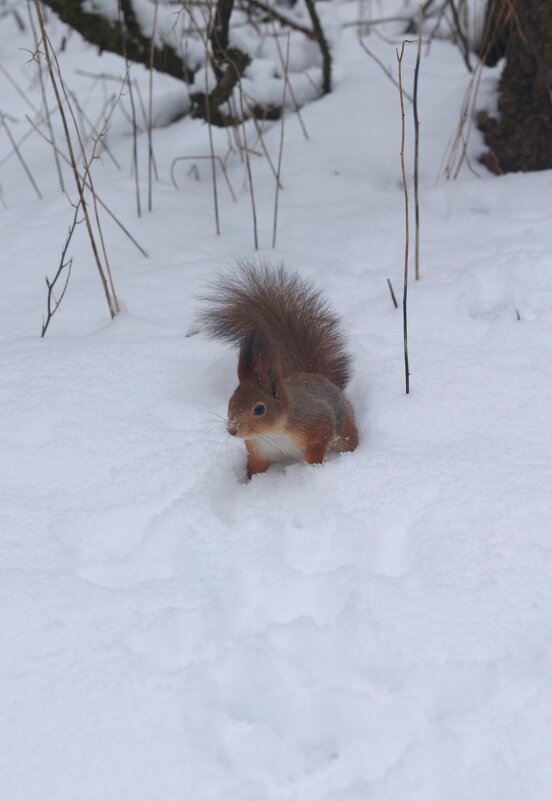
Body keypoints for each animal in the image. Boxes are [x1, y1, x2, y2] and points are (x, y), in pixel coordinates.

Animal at [202, 260, 358, 478]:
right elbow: (256, 469)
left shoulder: (318, 423)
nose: (232, 430)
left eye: (259, 409)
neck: (273, 432)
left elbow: (318, 447)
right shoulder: (257, 450)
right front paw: (249, 483)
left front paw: (313, 468)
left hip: (345, 430)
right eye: (230, 401)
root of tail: (317, 376)